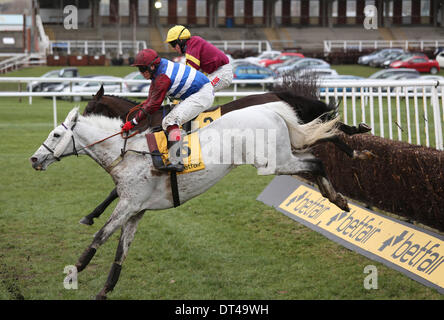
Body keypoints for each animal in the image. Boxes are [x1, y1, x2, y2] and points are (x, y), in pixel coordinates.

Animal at [29, 99, 348, 298]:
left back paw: (338, 196)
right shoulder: (136, 211)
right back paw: (336, 189)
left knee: (315, 163)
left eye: (56, 134)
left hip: (273, 162)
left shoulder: (127, 205)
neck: (127, 154)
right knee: (312, 156)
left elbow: (98, 238)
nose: (34, 159)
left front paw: (73, 274)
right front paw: (104, 291)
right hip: (282, 156)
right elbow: (120, 254)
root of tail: (271, 111)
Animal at [80, 84, 372, 225]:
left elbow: (115, 191)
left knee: (325, 132)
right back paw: (356, 143)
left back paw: (355, 148)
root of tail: (278, 94)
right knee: (325, 131)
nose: (78, 122)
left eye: (89, 108)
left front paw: (91, 214)